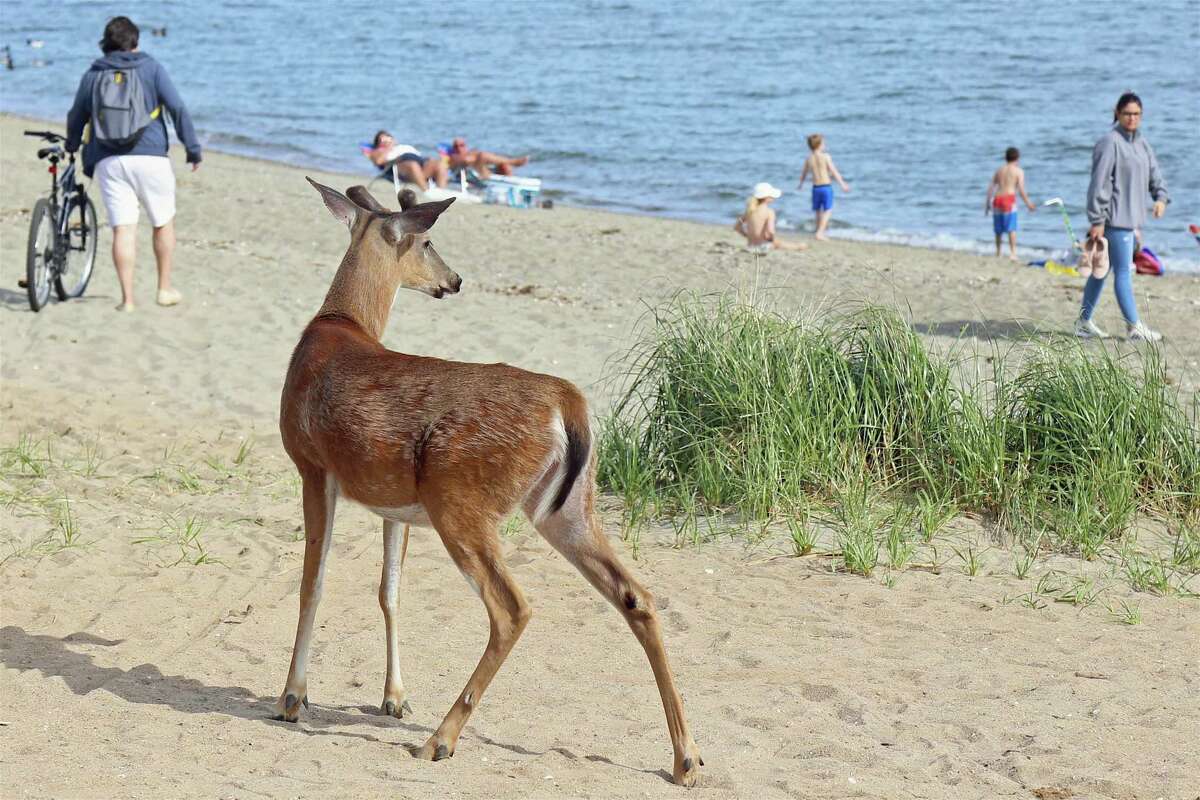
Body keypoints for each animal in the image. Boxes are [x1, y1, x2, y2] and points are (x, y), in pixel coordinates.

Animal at [274, 178, 700, 786]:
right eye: (429, 242)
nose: (454, 280)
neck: (340, 326)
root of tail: (567, 402)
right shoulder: (391, 502)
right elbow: (389, 591)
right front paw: (393, 697)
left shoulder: (312, 466)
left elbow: (313, 583)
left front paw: (292, 697)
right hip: (565, 508)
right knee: (635, 595)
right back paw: (686, 756)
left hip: (460, 501)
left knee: (512, 607)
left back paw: (440, 739)